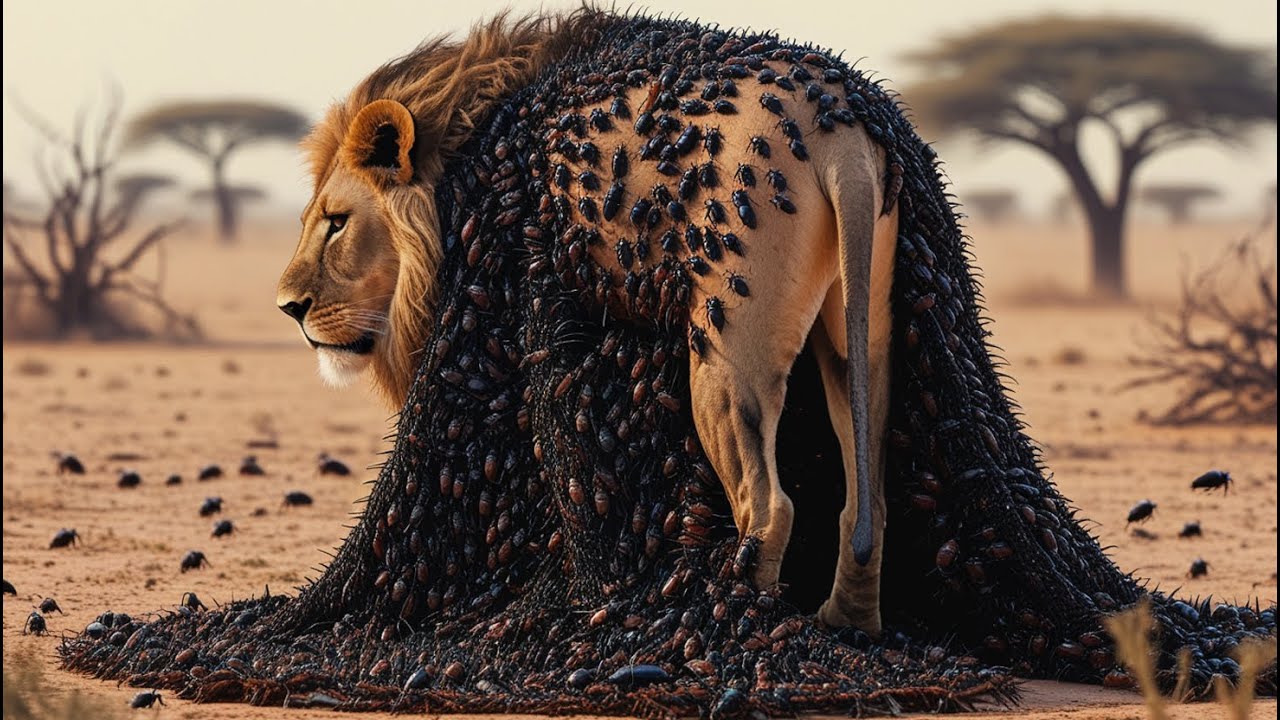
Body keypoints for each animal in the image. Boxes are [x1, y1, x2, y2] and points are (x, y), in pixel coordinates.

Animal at [277, 9, 895, 635]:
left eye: (336, 222)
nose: (288, 307)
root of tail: (840, 142)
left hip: (726, 347)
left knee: (768, 506)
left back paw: (721, 614)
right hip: (862, 336)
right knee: (868, 497)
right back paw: (847, 622)